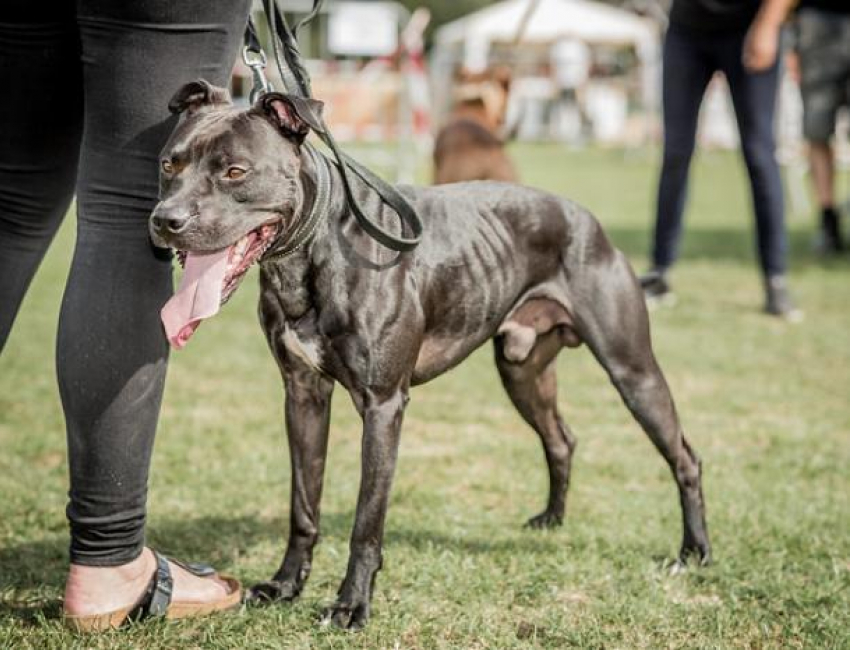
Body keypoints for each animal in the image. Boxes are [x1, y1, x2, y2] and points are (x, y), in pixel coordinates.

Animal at [151, 81, 708, 628]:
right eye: (168, 164)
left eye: (235, 171)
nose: (165, 220)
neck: (311, 251)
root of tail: (586, 217)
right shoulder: (303, 396)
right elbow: (303, 506)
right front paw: (286, 585)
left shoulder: (382, 405)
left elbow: (366, 520)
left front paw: (352, 605)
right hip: (522, 370)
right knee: (561, 439)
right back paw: (552, 520)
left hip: (632, 370)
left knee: (685, 456)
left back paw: (694, 553)